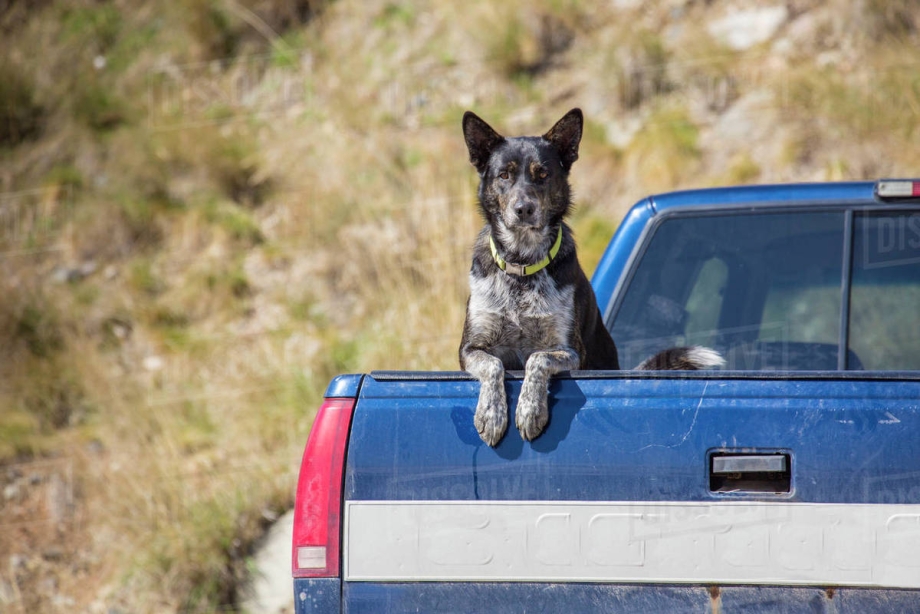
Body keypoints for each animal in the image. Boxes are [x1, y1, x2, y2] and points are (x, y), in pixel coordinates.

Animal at [456, 109, 724, 448]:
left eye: (542, 174)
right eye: (504, 175)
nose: (523, 209)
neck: (523, 263)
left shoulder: (571, 351)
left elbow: (537, 359)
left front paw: (530, 411)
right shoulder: (470, 348)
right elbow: (494, 365)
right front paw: (491, 415)